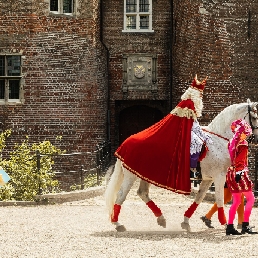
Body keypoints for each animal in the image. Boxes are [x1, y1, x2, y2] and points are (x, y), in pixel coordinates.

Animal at [105, 99, 258, 232]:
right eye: (255, 117)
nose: (256, 138)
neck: (218, 140)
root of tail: (125, 144)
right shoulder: (219, 176)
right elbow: (220, 199)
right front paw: (226, 224)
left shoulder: (208, 178)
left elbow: (199, 198)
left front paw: (186, 222)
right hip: (130, 176)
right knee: (121, 195)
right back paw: (118, 224)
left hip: (144, 174)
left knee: (142, 193)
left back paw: (161, 219)